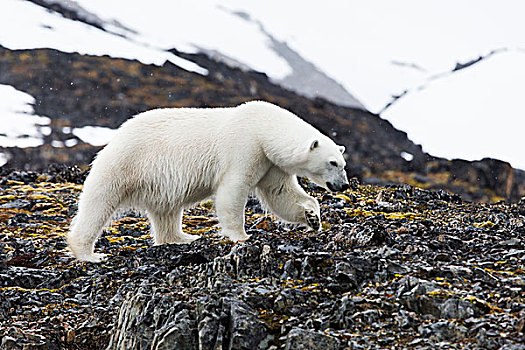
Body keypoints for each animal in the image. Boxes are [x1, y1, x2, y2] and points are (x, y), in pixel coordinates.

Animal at [67, 100, 350, 262]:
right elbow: (232, 190)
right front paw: (241, 236)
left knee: (167, 211)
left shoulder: (269, 161)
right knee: (99, 203)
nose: (344, 185)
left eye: (343, 163)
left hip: (158, 182)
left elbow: (280, 193)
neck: (263, 128)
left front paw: (313, 217)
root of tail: (117, 136)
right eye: (332, 163)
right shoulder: (245, 147)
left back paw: (182, 237)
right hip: (127, 163)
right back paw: (89, 254)